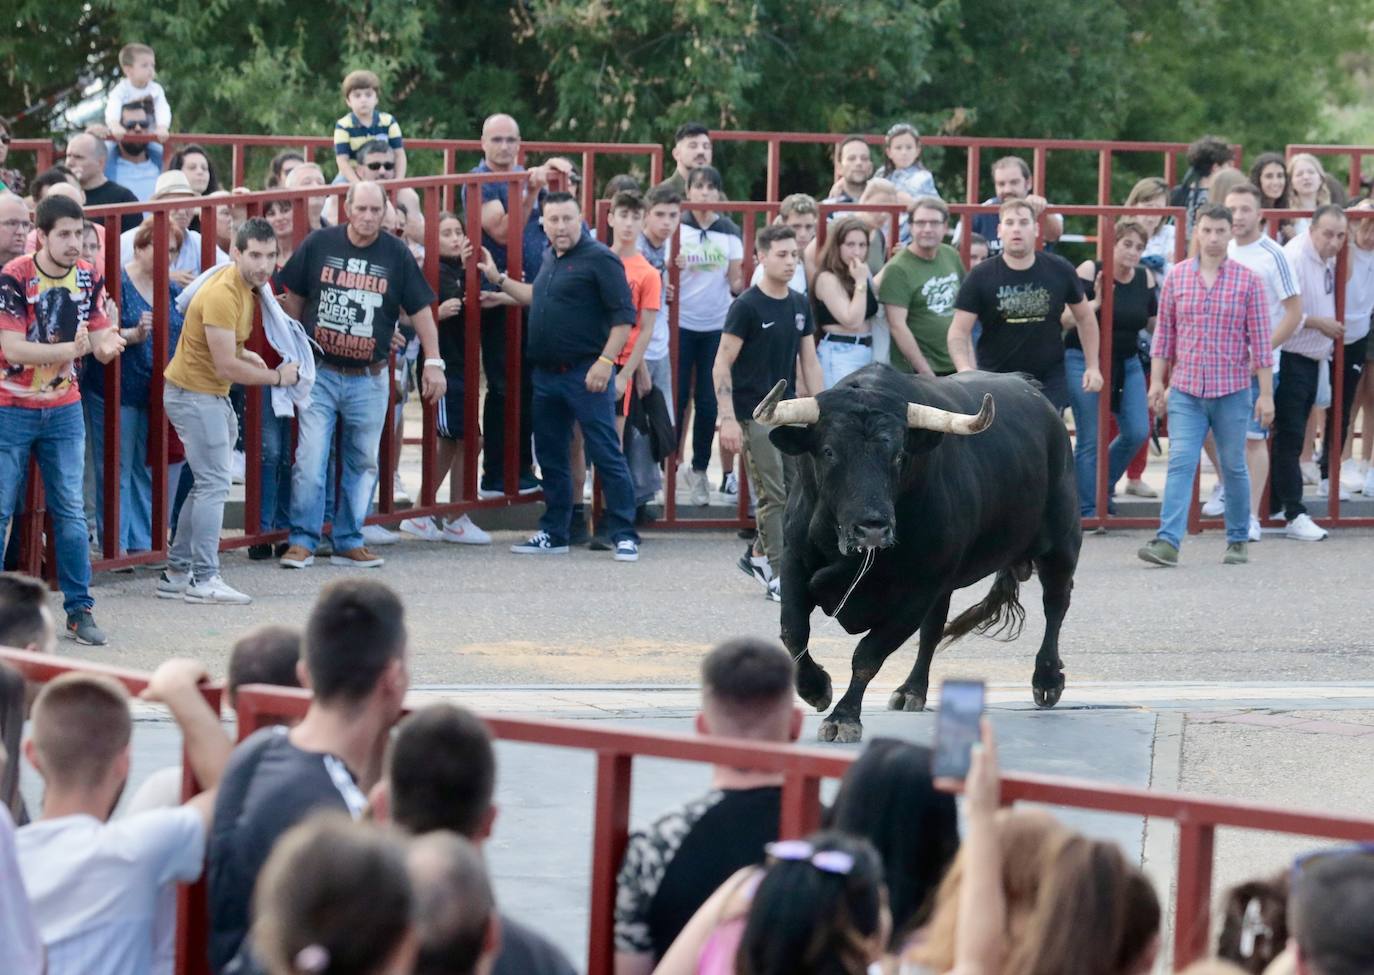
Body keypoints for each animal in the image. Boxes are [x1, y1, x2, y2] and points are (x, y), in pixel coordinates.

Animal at [758, 362, 1077, 747]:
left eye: (899, 455)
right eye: (829, 451)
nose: (873, 528)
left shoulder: (918, 589)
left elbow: (869, 653)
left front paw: (844, 717)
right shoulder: (794, 561)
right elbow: (793, 631)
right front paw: (815, 688)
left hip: (1062, 544)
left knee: (1055, 605)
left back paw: (1046, 679)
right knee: (933, 630)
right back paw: (912, 690)